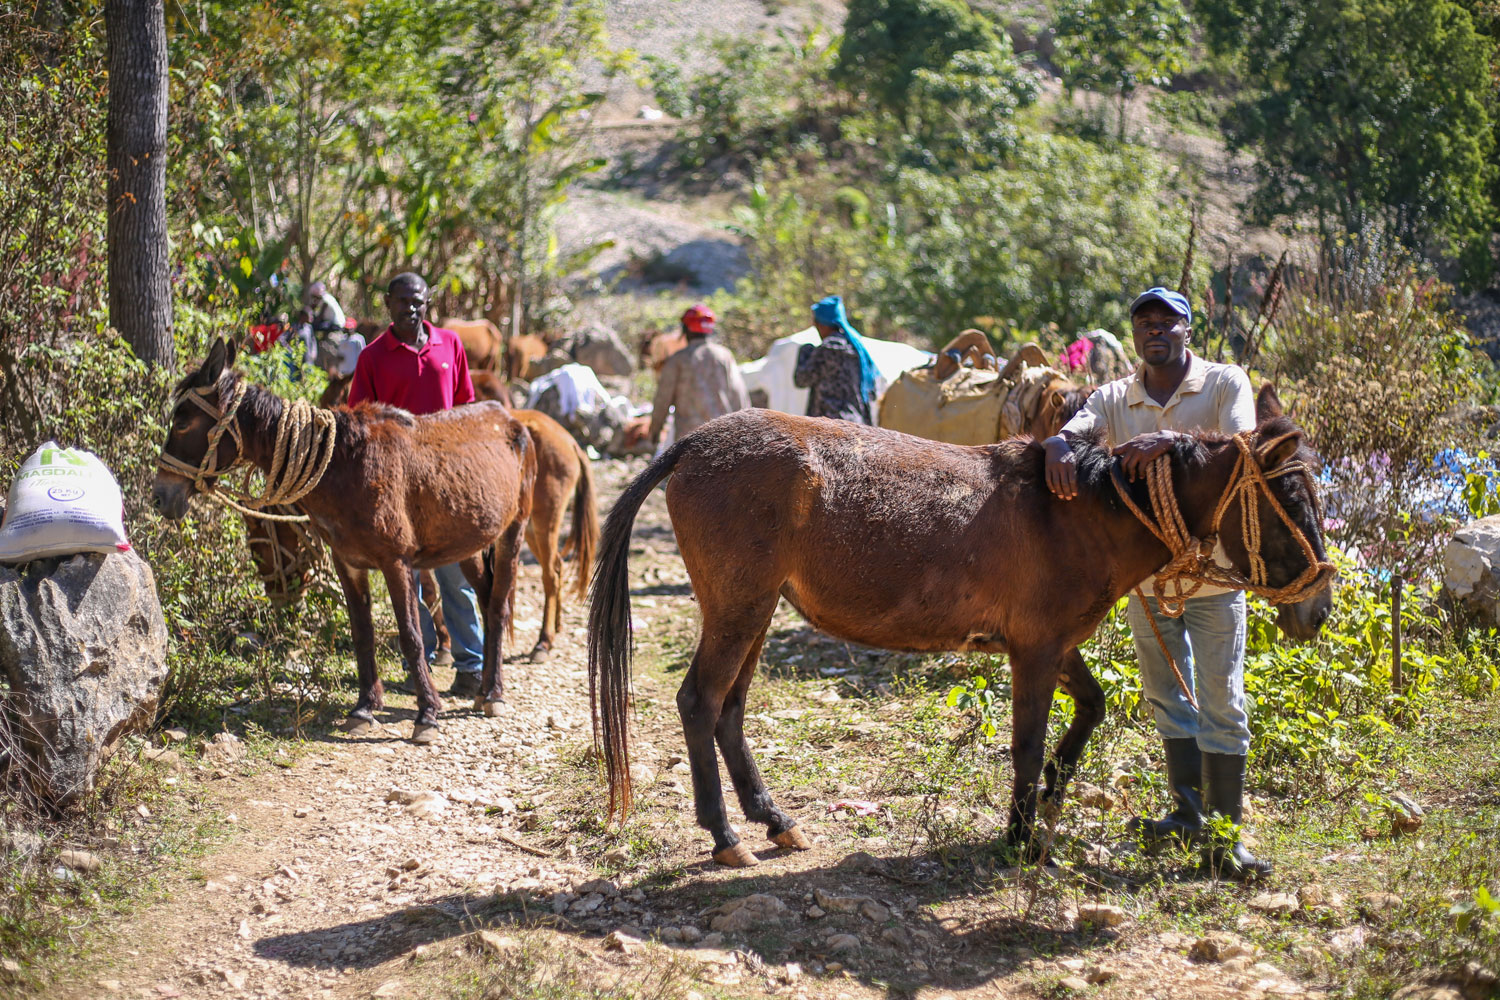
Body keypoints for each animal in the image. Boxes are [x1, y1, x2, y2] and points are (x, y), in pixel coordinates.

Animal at [152, 340, 537, 740]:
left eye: (182, 422)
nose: (159, 496)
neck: (345, 465)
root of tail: (509, 417)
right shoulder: (348, 563)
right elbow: (362, 633)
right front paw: (365, 707)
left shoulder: (396, 563)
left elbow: (411, 636)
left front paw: (427, 713)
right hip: (468, 543)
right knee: (485, 599)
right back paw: (483, 688)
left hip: (512, 532)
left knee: (497, 607)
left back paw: (493, 693)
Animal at [591, 386, 1332, 863]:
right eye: (1292, 497)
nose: (1317, 610)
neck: (1085, 514)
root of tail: (693, 442)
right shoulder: (1035, 653)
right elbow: (1027, 745)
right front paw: (1021, 838)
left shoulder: (1053, 648)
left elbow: (1090, 710)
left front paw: (1050, 799)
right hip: (740, 609)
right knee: (700, 702)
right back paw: (724, 836)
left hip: (754, 610)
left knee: (730, 709)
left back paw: (773, 821)